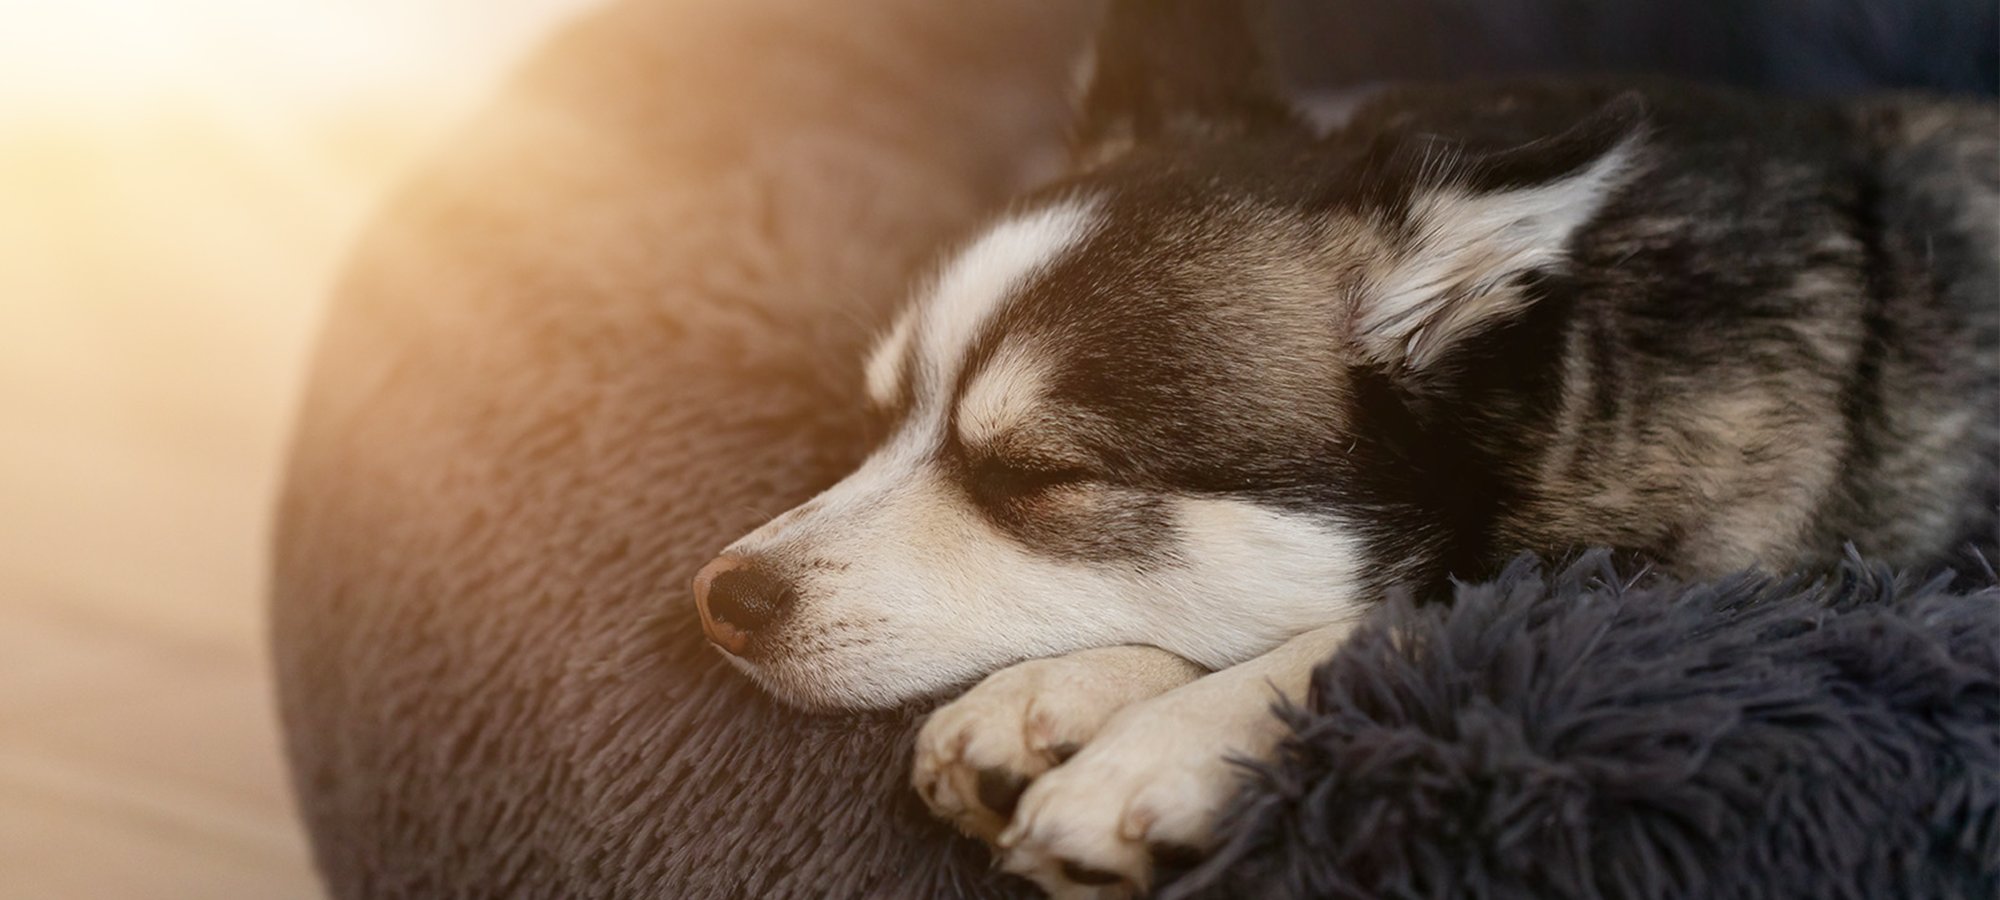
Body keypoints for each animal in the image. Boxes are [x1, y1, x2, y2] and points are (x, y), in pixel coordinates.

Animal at [692, 0, 2000, 892]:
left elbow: (1381, 626)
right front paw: (1060, 694)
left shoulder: (1721, 595)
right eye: (877, 423)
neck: (1568, 339)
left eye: (1035, 477)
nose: (722, 597)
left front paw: (1148, 750)